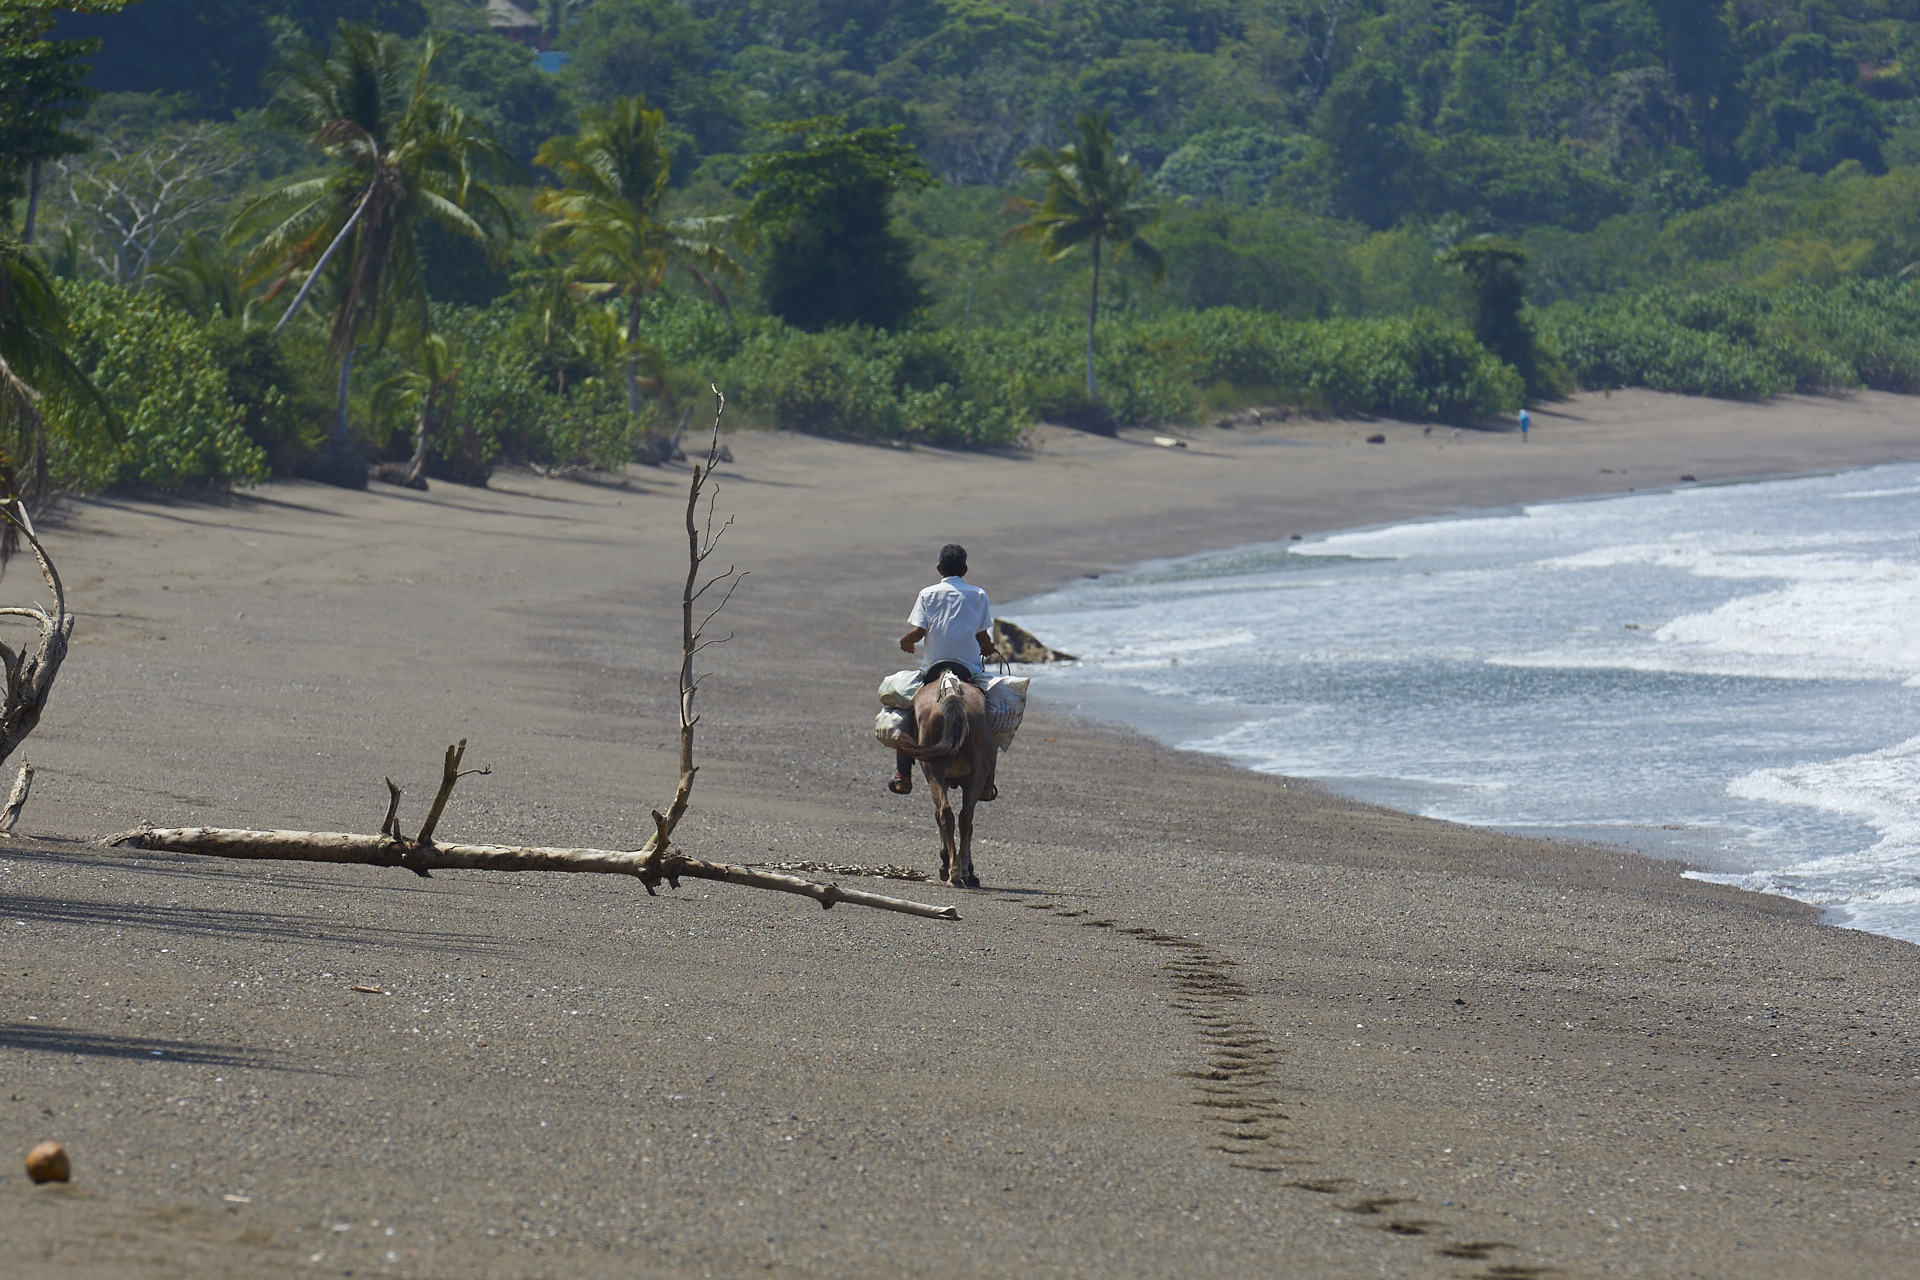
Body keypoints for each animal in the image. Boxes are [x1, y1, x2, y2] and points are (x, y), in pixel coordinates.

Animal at [890, 671, 998, 890]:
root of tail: (951, 692)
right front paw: (961, 868)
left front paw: (946, 864)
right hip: (974, 771)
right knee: (963, 816)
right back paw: (960, 871)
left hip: (935, 769)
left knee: (948, 813)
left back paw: (955, 872)